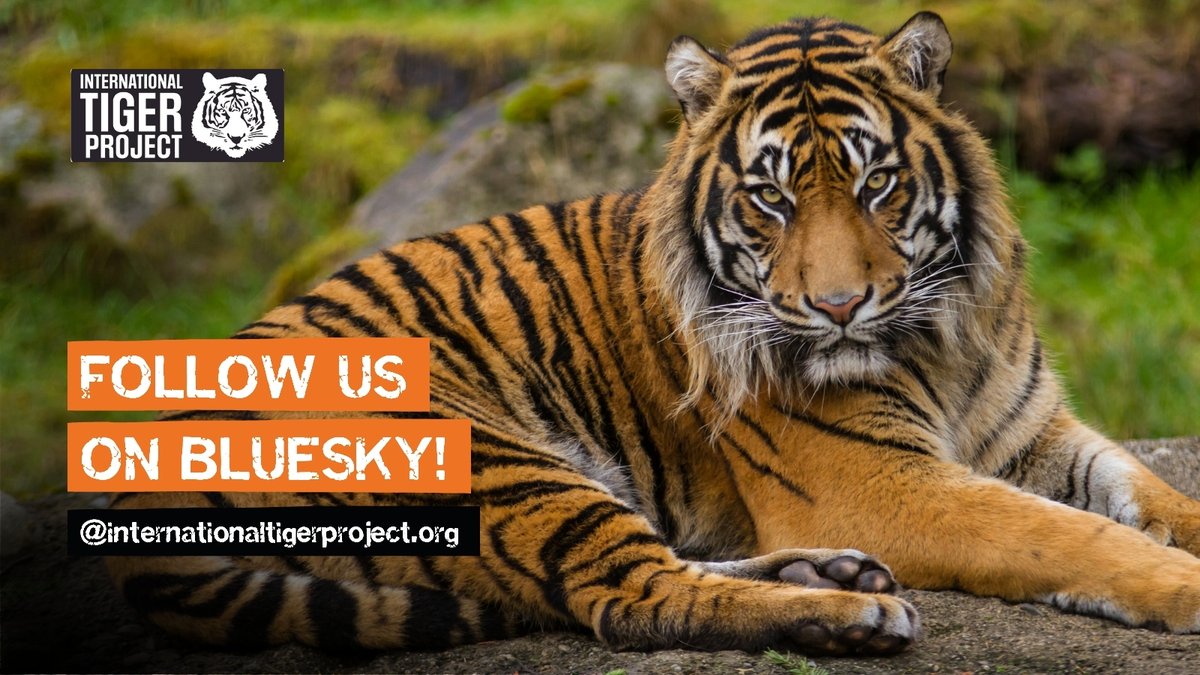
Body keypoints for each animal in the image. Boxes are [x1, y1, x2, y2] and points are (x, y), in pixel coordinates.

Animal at [109, 12, 1200, 656]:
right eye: (770, 198)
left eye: (876, 184)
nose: (840, 307)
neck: (944, 332)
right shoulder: (874, 477)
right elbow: (1063, 535)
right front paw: (1179, 588)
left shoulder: (1034, 434)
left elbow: (1150, 494)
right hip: (499, 460)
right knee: (627, 596)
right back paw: (848, 609)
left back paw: (830, 573)